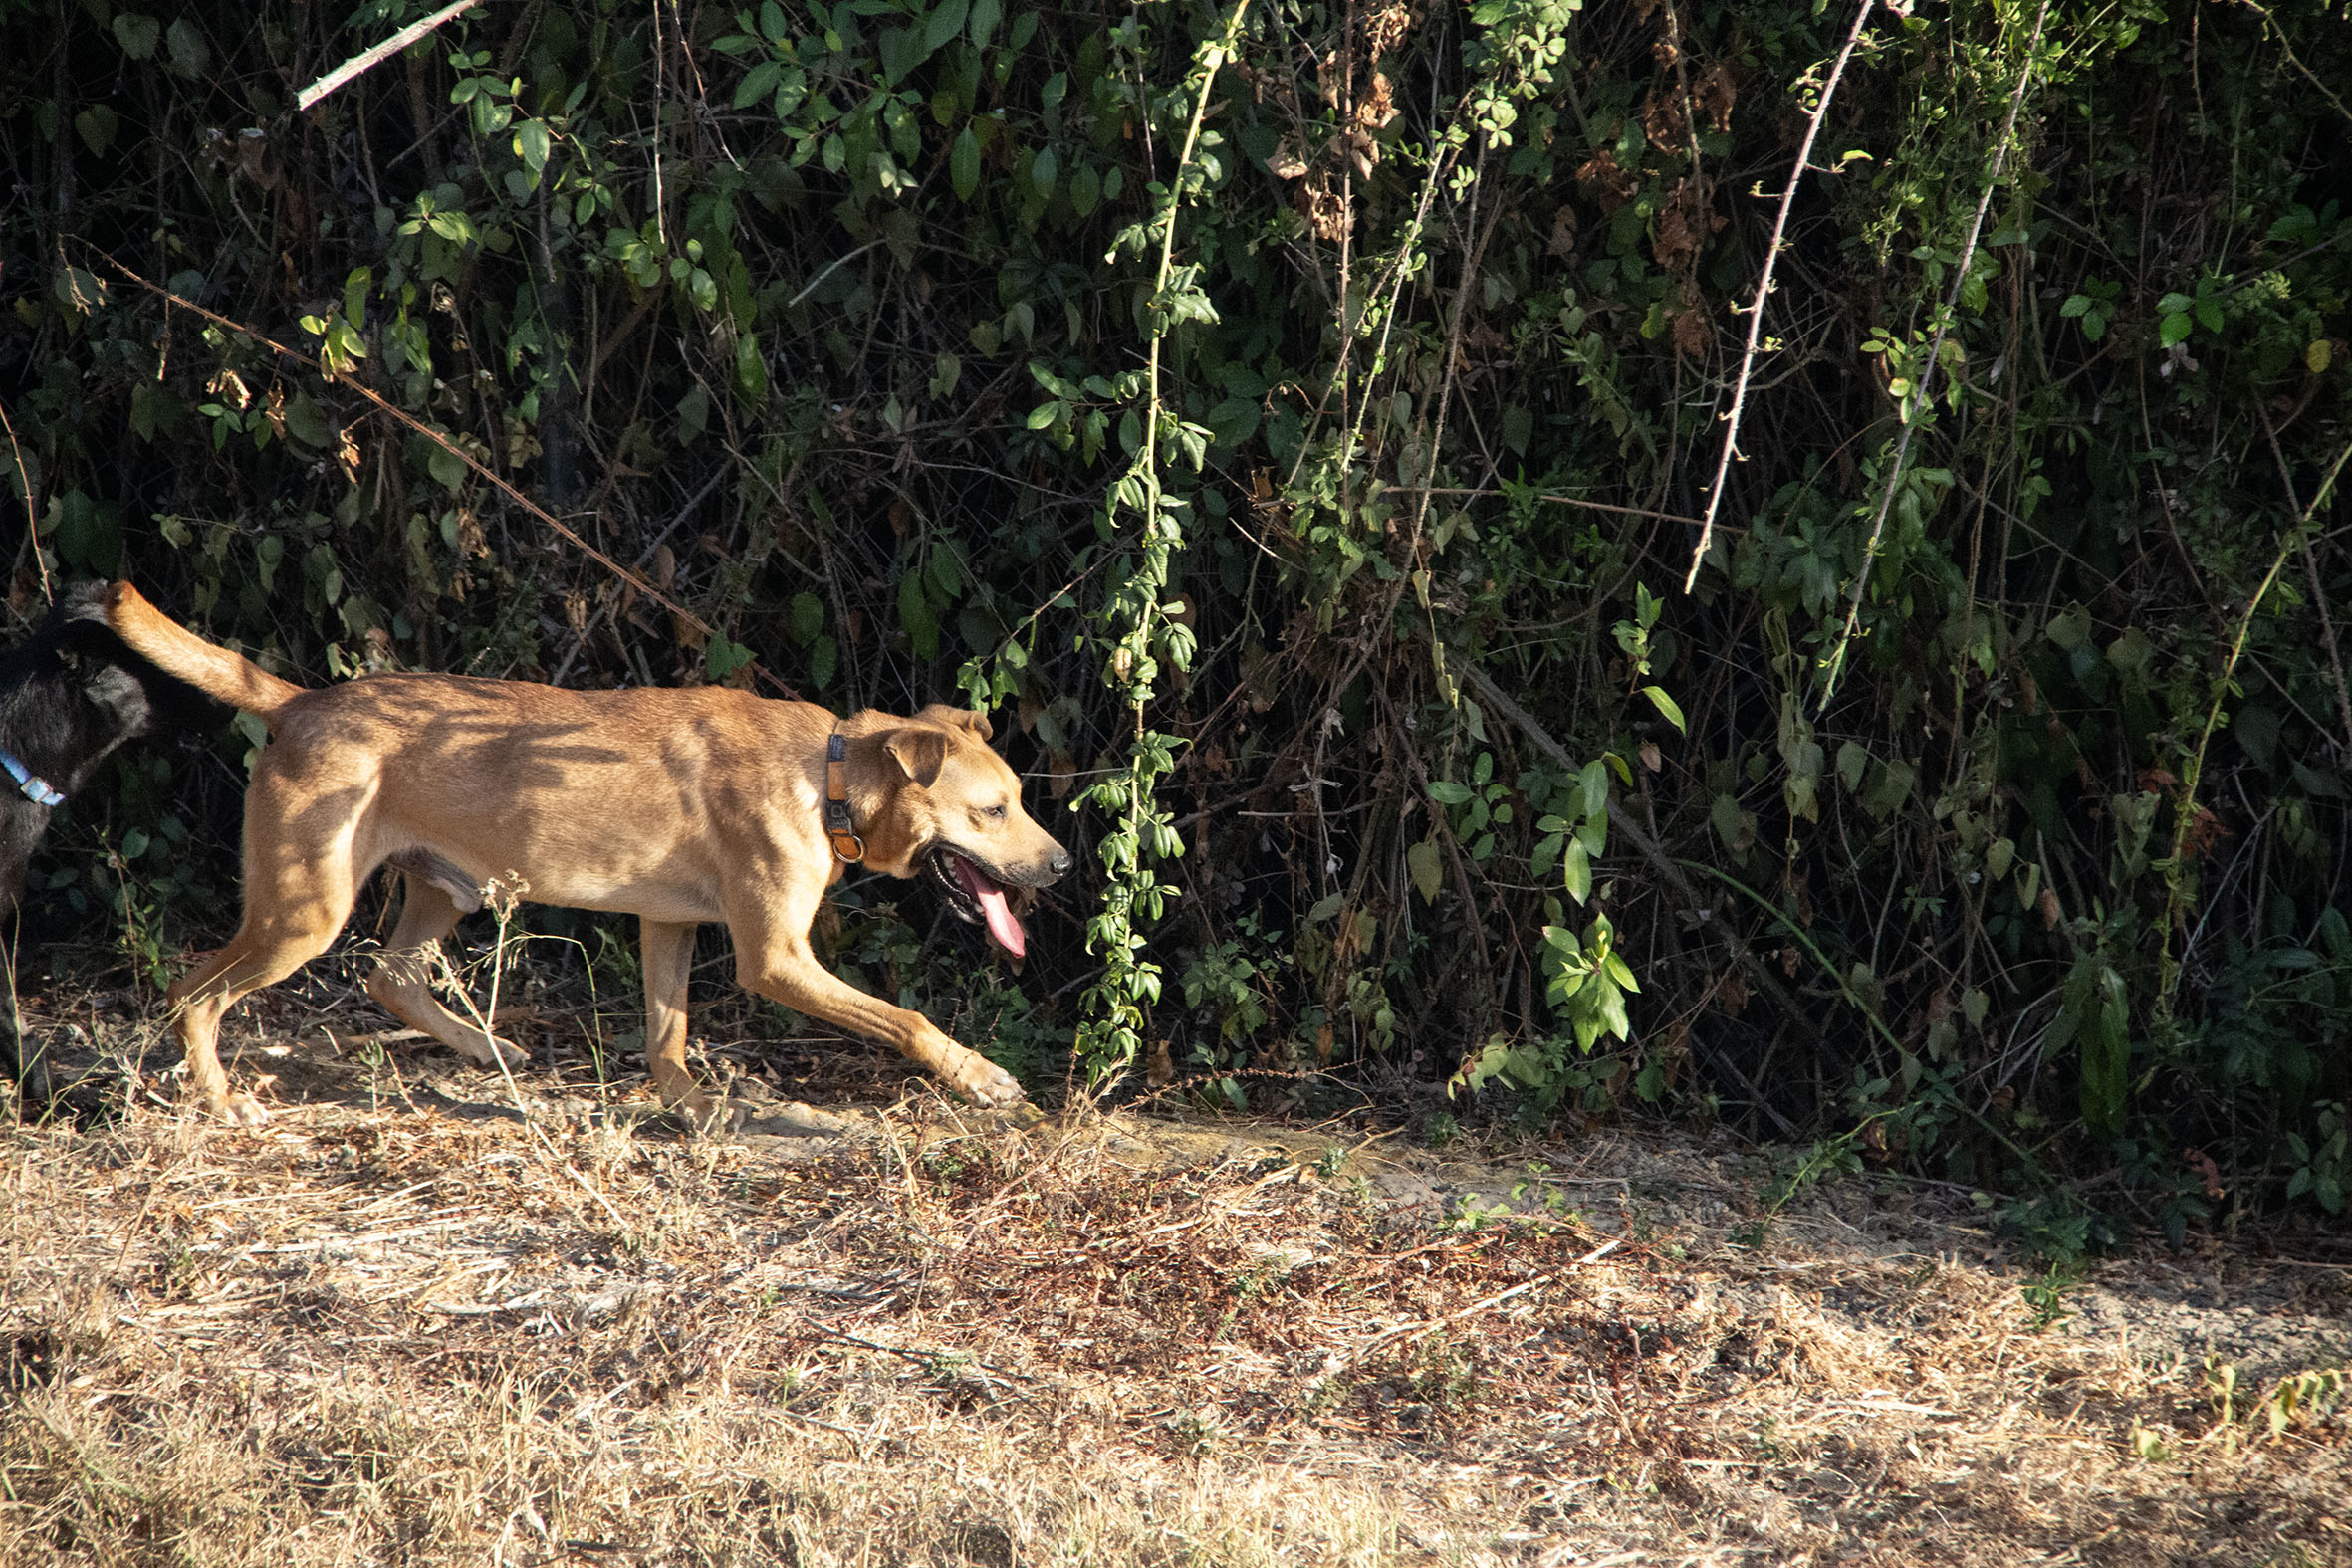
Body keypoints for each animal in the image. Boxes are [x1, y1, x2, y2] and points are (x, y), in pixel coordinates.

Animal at [102, 582, 1070, 1126]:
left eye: (1019, 799)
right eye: (992, 810)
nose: (1062, 868)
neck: (828, 772)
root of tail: (301, 702)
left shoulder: (668, 926)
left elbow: (668, 1038)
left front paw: (696, 1108)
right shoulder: (774, 959)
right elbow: (908, 1020)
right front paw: (983, 1077)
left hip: (443, 891)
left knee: (390, 977)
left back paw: (487, 1049)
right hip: (304, 911)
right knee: (195, 988)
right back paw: (221, 1100)